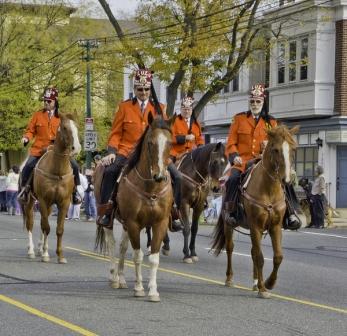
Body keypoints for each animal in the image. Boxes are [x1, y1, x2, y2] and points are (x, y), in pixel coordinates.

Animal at [20, 114, 81, 264]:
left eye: (77, 127)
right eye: (64, 127)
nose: (76, 148)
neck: (57, 169)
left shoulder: (64, 202)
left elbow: (59, 229)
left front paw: (60, 256)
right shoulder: (43, 200)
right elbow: (46, 227)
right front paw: (46, 254)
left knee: (43, 221)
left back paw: (40, 248)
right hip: (30, 202)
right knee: (31, 223)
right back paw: (31, 251)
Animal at [95, 115, 174, 302]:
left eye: (170, 143)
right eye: (150, 143)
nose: (160, 176)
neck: (151, 188)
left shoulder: (160, 223)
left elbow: (154, 258)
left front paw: (153, 291)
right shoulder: (133, 223)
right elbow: (137, 256)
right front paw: (139, 288)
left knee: (123, 247)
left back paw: (122, 279)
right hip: (109, 219)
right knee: (111, 243)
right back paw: (114, 277)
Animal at [212, 124, 300, 298]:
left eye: (293, 149)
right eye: (275, 149)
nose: (286, 180)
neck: (269, 189)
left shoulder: (275, 226)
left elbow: (277, 256)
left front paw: (268, 283)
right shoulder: (256, 226)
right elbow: (260, 257)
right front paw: (263, 288)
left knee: (253, 251)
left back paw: (254, 283)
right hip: (229, 224)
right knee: (230, 248)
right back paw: (230, 279)